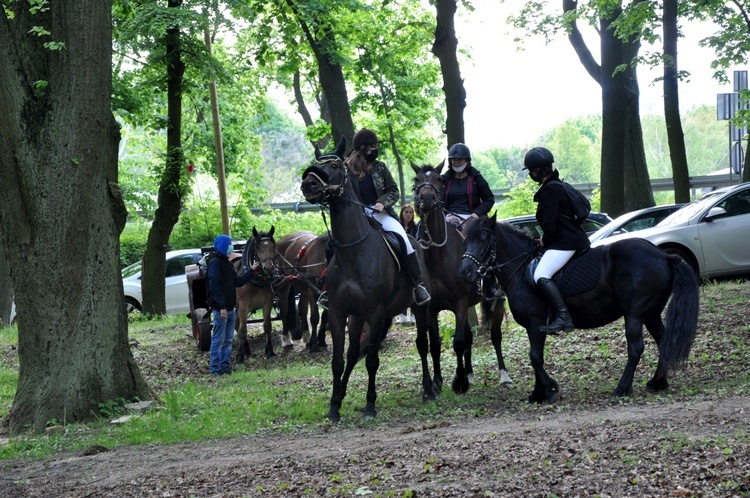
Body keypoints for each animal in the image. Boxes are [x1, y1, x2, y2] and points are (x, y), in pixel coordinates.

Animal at [235, 227, 280, 362]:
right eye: (258, 247)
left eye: (273, 246)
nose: (269, 269)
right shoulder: (243, 306)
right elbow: (243, 329)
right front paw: (239, 356)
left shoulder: (268, 303)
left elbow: (267, 326)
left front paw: (269, 350)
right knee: (238, 326)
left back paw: (246, 348)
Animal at [302, 138, 440, 422]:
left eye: (334, 166)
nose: (308, 184)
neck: (353, 250)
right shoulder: (339, 312)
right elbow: (339, 360)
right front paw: (334, 406)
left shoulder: (375, 312)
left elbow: (372, 361)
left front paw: (369, 405)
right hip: (358, 317)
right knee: (354, 352)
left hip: (419, 309)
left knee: (422, 344)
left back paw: (428, 389)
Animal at [412, 163, 512, 392]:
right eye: (417, 180)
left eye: (439, 180)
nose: (427, 200)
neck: (439, 256)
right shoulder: (433, 308)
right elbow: (436, 345)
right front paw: (438, 382)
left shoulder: (459, 303)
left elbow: (458, 342)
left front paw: (458, 382)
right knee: (469, 337)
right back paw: (470, 374)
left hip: (495, 301)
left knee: (495, 336)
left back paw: (503, 375)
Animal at [462, 216, 704, 402]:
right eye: (465, 239)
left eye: (483, 239)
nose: (466, 272)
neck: (521, 270)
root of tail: (663, 255)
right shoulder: (534, 327)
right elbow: (536, 357)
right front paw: (543, 390)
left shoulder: (535, 324)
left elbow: (535, 357)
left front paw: (546, 391)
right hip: (651, 313)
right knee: (664, 341)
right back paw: (657, 382)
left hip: (635, 313)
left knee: (636, 348)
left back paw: (622, 388)